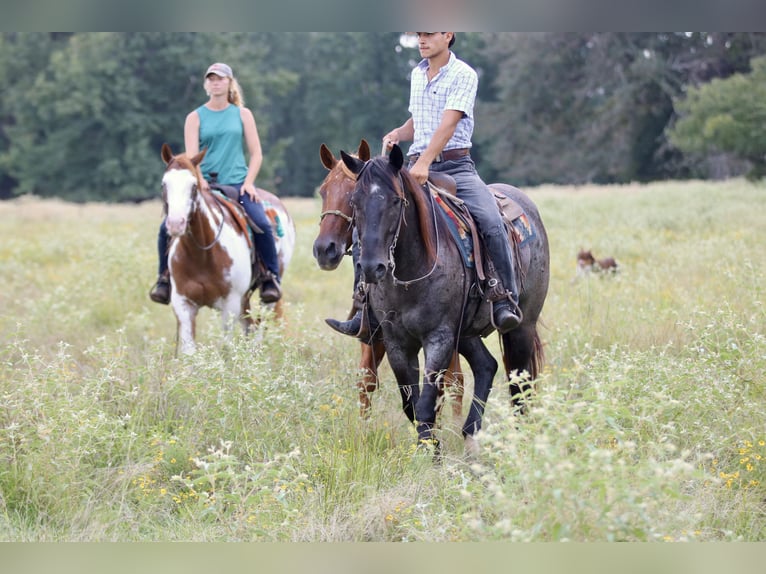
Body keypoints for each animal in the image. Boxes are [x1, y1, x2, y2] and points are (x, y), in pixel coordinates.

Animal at [160, 143, 295, 355]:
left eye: (193, 186)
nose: (175, 223)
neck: (202, 254)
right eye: (164, 184)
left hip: (268, 291)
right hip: (243, 300)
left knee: (260, 326)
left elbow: (225, 349)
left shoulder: (230, 304)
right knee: (250, 326)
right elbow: (190, 351)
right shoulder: (183, 303)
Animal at [313, 140, 464, 418]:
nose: (324, 249)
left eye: (350, 195)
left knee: (455, 381)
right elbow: (366, 378)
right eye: (323, 191)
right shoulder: (375, 333)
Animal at [339, 144, 549, 457]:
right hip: (465, 331)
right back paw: (470, 435)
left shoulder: (438, 338)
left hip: (521, 327)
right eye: (355, 201)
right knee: (487, 365)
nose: (371, 267)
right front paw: (430, 450)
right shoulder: (396, 342)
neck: (412, 269)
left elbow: (427, 404)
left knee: (520, 384)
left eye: (395, 201)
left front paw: (432, 457)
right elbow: (412, 405)